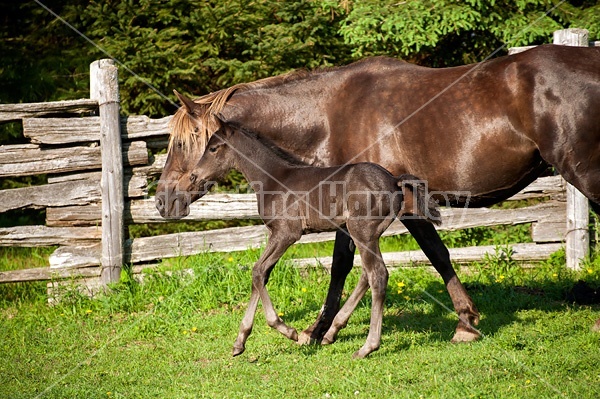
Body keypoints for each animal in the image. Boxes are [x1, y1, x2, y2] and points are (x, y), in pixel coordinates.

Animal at [189, 123, 440, 358]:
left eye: (213, 148)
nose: (193, 175)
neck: (274, 179)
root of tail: (393, 180)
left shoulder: (286, 234)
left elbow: (258, 271)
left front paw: (287, 330)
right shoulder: (275, 235)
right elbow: (260, 274)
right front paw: (239, 342)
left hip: (362, 232)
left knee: (378, 275)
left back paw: (367, 347)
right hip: (365, 235)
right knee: (367, 274)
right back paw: (332, 333)